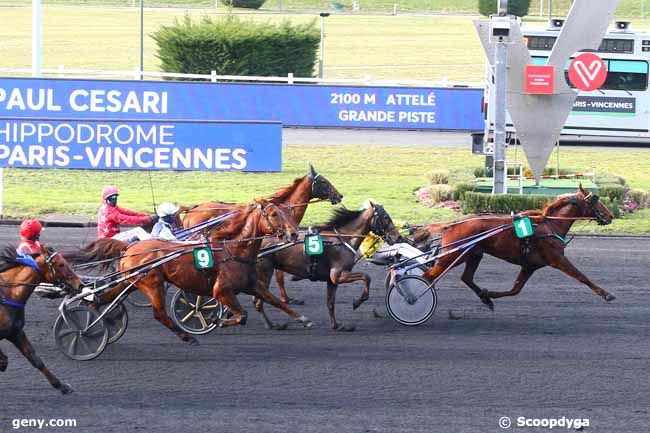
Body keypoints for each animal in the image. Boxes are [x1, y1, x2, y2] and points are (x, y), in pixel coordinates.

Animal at [0, 245, 82, 394]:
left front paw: (61, 386)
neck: (7, 296)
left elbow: (35, 359)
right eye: (61, 264)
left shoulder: (16, 332)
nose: (80, 284)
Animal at [106, 199, 308, 344]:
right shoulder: (221, 291)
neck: (233, 251)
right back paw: (188, 337)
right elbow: (242, 315)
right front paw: (217, 320)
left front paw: (303, 318)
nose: (293, 234)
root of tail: (129, 249)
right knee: (160, 314)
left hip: (132, 282)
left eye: (288, 212)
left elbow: (274, 301)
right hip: (152, 284)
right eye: (274, 214)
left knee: (107, 297)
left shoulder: (252, 284)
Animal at [180, 163, 342, 304]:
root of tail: (192, 210)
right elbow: (279, 275)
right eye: (323, 181)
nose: (340, 196)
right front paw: (285, 299)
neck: (283, 211)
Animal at [253, 202, 400, 330]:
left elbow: (330, 303)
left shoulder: (331, 280)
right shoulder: (338, 275)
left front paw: (336, 325)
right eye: (386, 217)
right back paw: (272, 325)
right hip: (265, 273)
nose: (397, 237)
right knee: (260, 300)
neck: (344, 240)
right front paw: (357, 302)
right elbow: (366, 277)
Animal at [420, 186, 612, 310]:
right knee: (428, 276)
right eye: (596, 201)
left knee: (466, 277)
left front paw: (488, 294)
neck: (550, 225)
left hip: (473, 254)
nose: (610, 216)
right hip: (452, 256)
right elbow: (581, 276)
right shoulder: (557, 259)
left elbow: (515, 290)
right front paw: (606, 294)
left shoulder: (530, 265)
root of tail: (451, 224)